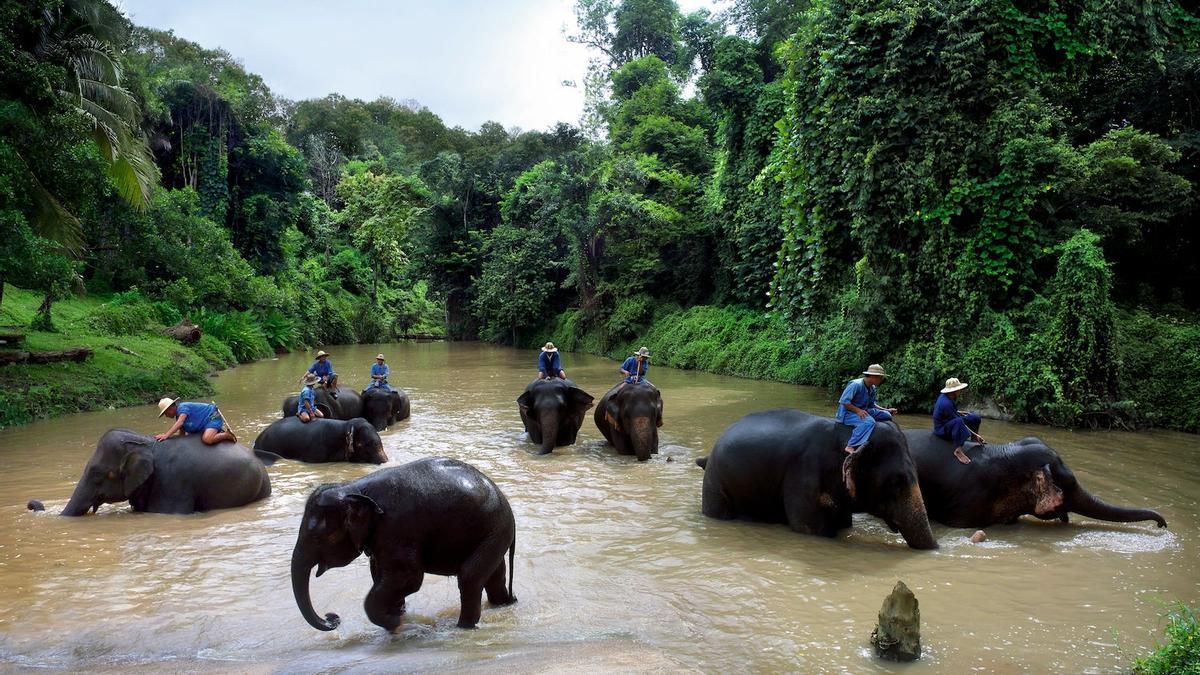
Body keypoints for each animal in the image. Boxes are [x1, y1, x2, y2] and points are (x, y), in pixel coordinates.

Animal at [292, 454, 518, 629]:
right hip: (493, 535)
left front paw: (395, 623)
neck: (353, 487)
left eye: (318, 537)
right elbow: (381, 575)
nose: (333, 618)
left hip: (495, 531)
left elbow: (408, 578)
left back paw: (462, 628)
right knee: (494, 576)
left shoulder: (396, 529)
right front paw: (397, 615)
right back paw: (504, 605)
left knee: (469, 577)